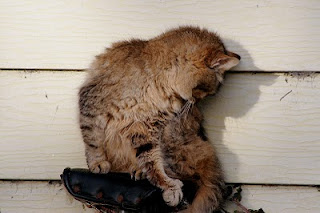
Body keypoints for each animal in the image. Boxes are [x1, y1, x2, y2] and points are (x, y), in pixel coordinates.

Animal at [79, 25, 240, 212]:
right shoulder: (91, 102)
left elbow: (151, 160)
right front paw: (97, 162)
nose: (195, 103)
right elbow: (93, 140)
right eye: (205, 91)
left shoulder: (146, 128)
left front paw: (168, 186)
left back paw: (139, 170)